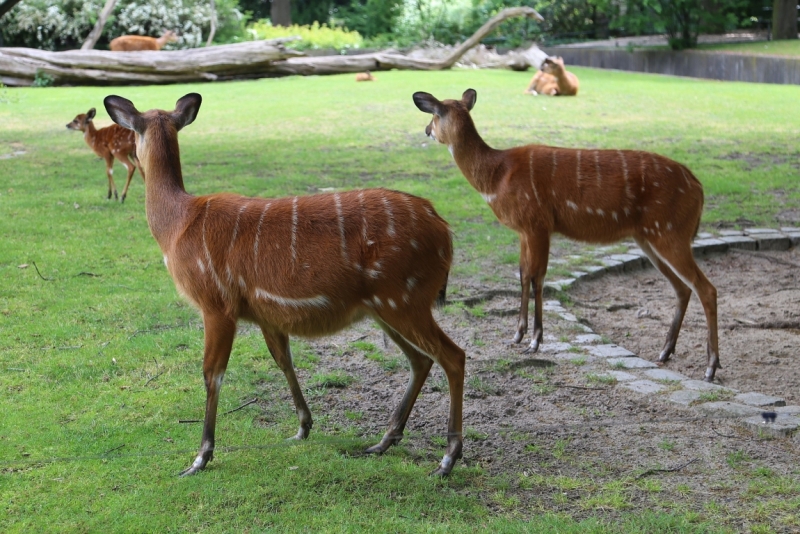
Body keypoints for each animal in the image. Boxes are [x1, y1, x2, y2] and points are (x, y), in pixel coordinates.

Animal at [104, 92, 468, 478]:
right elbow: (283, 360)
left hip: (404, 297)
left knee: (453, 355)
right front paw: (303, 428)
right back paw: (383, 441)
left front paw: (200, 457)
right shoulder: (266, 313)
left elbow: (212, 373)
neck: (177, 226)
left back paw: (447, 458)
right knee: (420, 359)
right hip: (385, 306)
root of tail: (444, 231)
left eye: (133, 132)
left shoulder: (216, 303)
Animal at [416, 89, 720, 382]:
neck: (496, 177)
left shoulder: (538, 224)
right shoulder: (524, 230)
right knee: (682, 288)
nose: (426, 130)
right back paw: (665, 352)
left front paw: (535, 342)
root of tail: (698, 186)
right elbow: (523, 274)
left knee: (706, 288)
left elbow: (538, 278)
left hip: (670, 232)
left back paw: (710, 368)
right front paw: (516, 336)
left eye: (434, 115)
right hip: (649, 238)